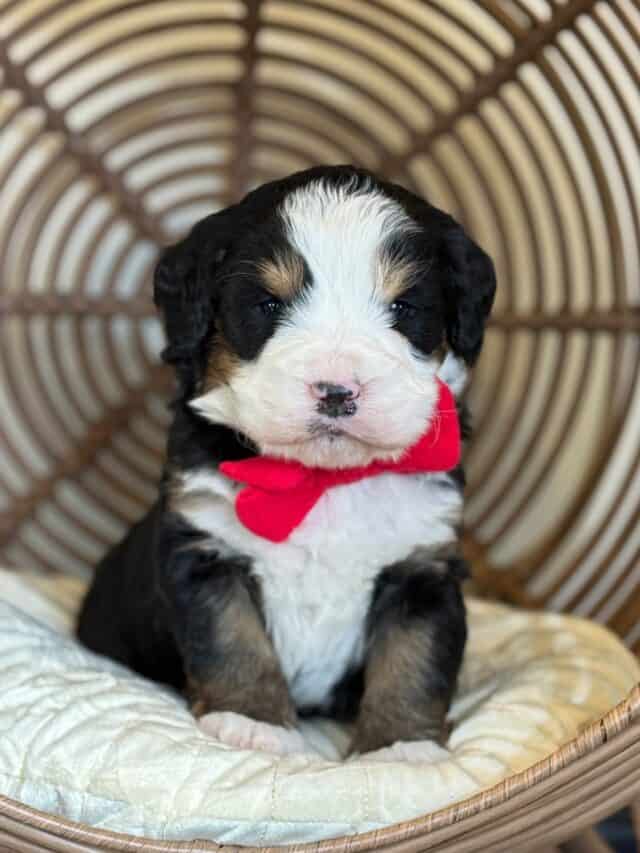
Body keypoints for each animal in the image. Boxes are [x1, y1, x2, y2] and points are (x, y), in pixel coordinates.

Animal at [75, 163, 496, 756]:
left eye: (403, 308)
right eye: (269, 306)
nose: (337, 391)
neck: (323, 481)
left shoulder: (421, 567)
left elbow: (415, 659)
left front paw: (401, 745)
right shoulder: (205, 549)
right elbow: (232, 638)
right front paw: (252, 720)